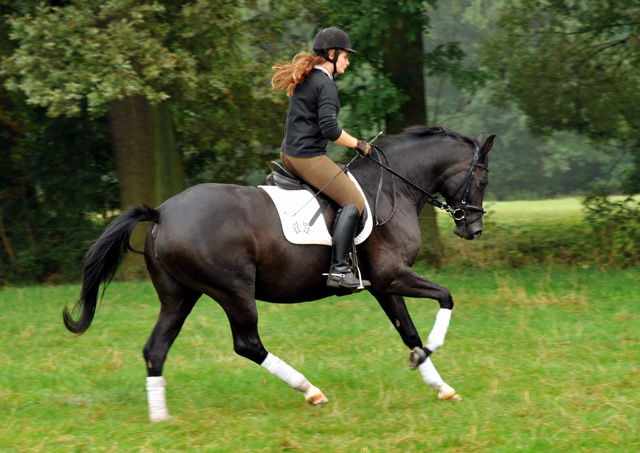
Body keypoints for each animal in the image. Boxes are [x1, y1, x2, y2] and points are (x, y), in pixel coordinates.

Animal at [63, 126, 496, 420]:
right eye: (482, 179)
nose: (473, 231)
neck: (392, 187)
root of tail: (161, 213)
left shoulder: (383, 286)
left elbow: (408, 332)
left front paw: (441, 386)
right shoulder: (392, 276)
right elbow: (445, 298)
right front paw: (433, 350)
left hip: (179, 296)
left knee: (156, 349)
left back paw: (160, 418)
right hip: (234, 291)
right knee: (247, 344)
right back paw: (311, 391)